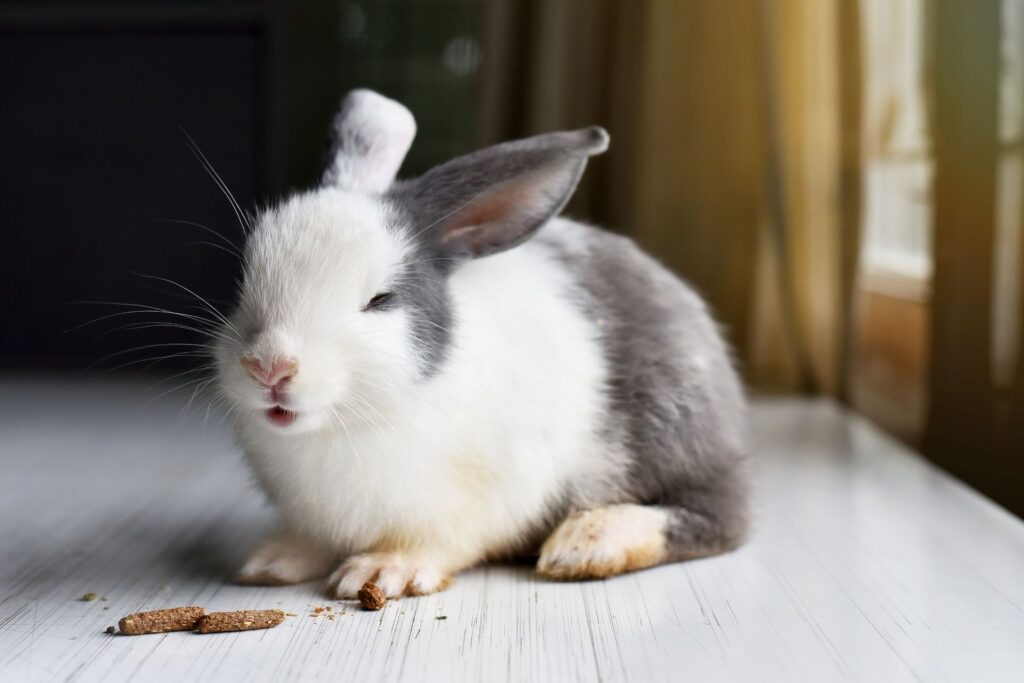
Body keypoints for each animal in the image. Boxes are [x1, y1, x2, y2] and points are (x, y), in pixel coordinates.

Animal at [218, 89, 749, 598]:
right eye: (243, 282)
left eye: (380, 300)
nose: (269, 367)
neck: (344, 424)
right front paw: (271, 562)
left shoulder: (479, 499)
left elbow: (437, 542)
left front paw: (383, 572)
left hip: (671, 433)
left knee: (721, 517)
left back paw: (586, 544)